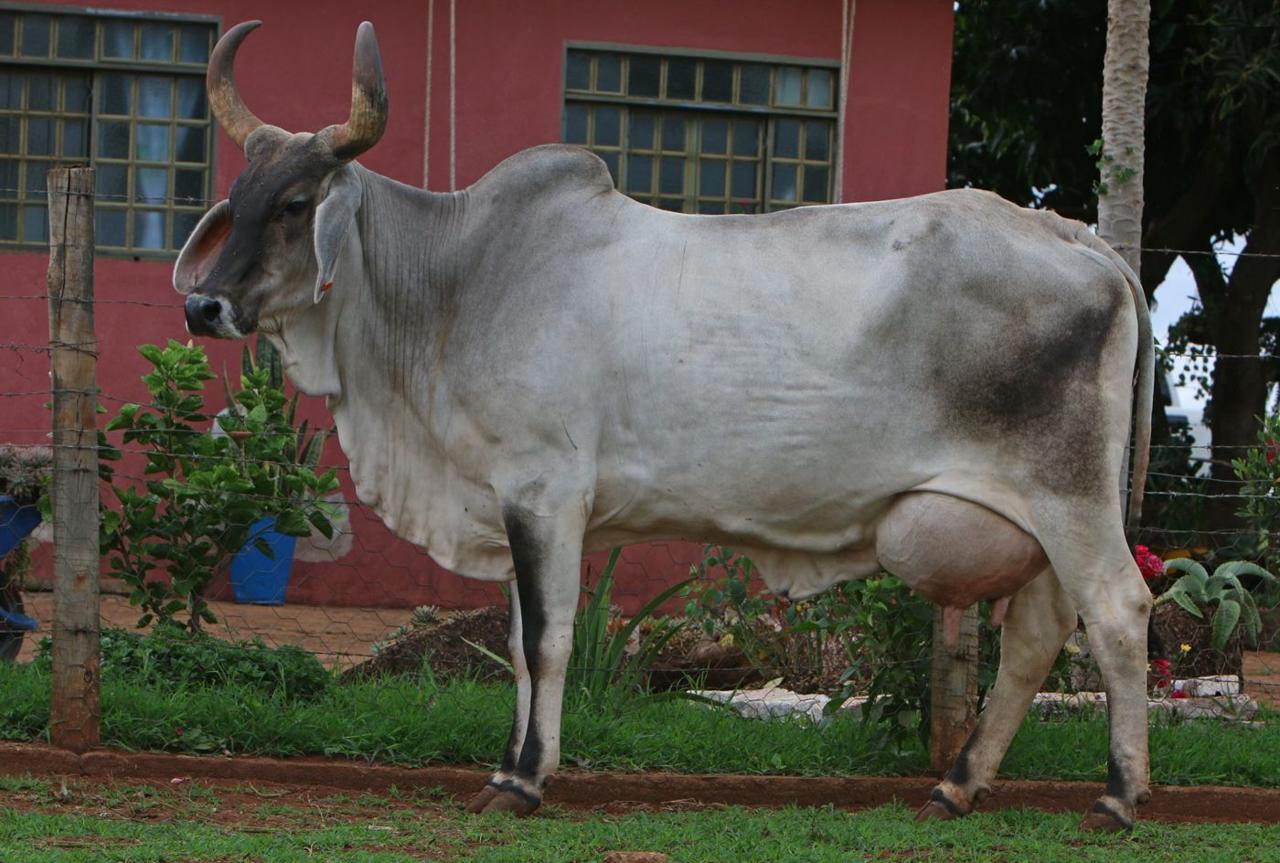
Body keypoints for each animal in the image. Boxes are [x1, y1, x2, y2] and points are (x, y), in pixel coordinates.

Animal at [176, 21, 1155, 831]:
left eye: (296, 203)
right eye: (239, 194)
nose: (202, 305)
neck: (460, 279)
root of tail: (1071, 232)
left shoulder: (545, 489)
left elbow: (548, 638)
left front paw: (526, 777)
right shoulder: (513, 497)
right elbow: (519, 647)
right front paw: (505, 767)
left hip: (1070, 497)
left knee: (1117, 610)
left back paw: (1116, 796)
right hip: (1042, 515)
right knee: (1036, 636)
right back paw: (958, 783)